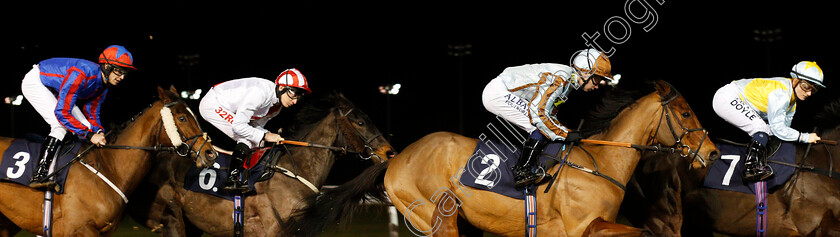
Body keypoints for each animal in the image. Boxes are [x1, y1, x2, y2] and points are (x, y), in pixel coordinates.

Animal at [286, 80, 720, 236]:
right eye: (685, 114)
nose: (713, 153)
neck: (599, 165)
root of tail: (396, 157)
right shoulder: (582, 228)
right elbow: (643, 232)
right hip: (435, 216)